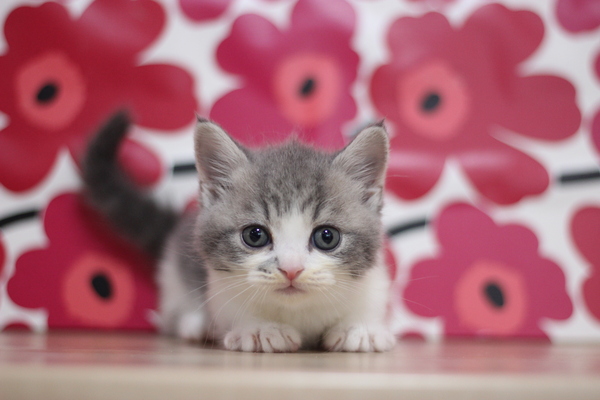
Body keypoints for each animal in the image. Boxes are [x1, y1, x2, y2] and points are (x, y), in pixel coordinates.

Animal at [83, 111, 394, 352]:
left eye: (326, 237)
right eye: (255, 236)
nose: (291, 269)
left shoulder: (373, 281)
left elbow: (367, 302)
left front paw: (359, 328)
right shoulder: (219, 285)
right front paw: (259, 329)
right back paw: (196, 324)